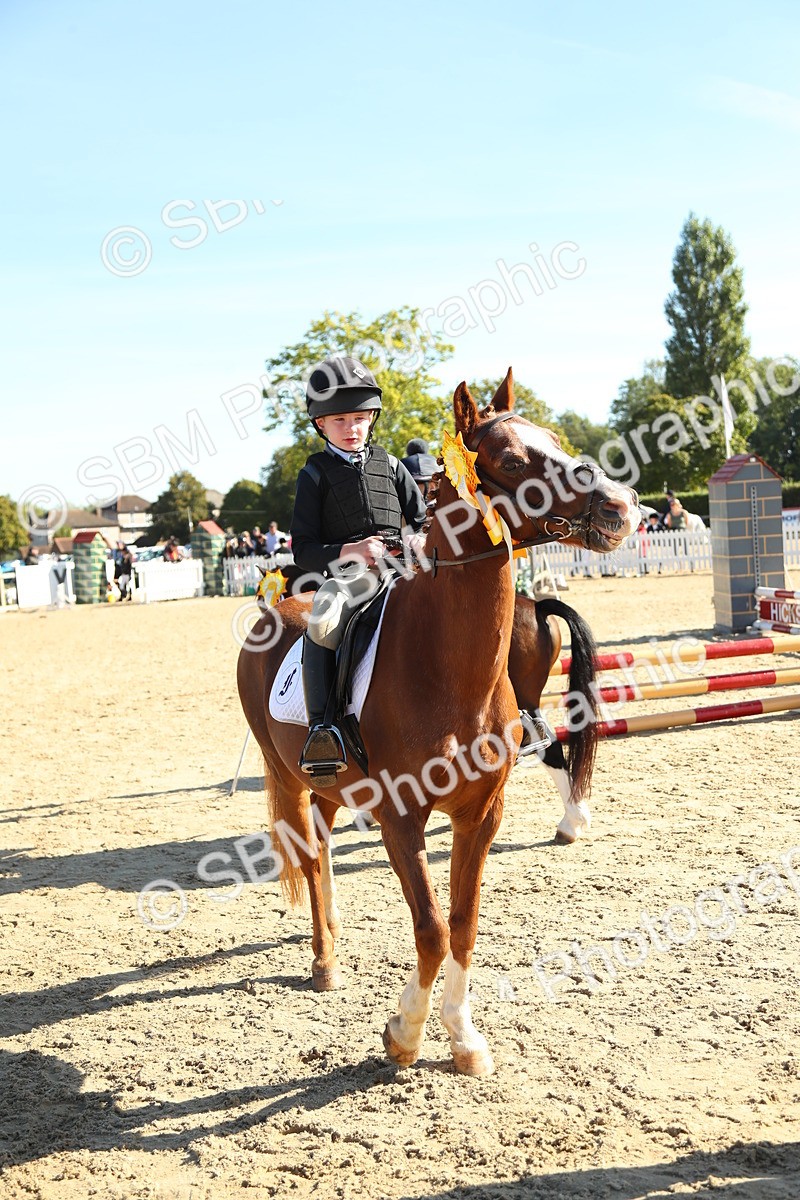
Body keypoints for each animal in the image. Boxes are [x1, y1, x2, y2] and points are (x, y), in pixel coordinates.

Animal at [237, 369, 639, 1075]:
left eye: (555, 438)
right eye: (512, 461)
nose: (621, 506)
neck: (447, 672)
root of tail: (276, 607)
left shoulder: (481, 814)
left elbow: (463, 924)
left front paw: (462, 1036)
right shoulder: (401, 818)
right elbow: (429, 926)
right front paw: (406, 1032)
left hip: (325, 785)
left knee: (323, 849)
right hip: (287, 777)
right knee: (309, 857)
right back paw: (323, 961)